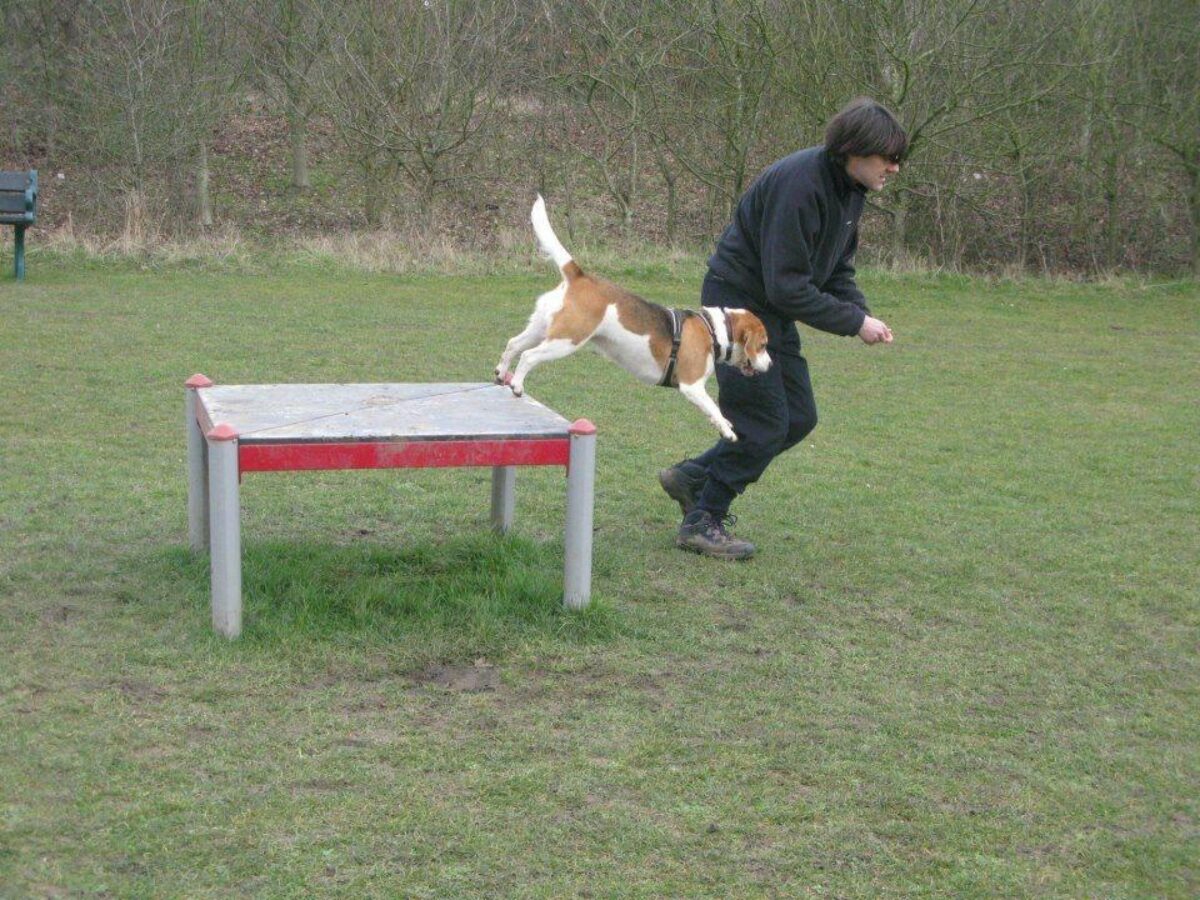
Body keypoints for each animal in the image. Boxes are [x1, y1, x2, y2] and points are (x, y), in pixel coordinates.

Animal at [494, 195, 768, 441]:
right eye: (764, 345)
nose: (771, 364)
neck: (714, 330)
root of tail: (579, 276)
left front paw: (723, 424)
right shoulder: (692, 386)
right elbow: (714, 407)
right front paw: (727, 429)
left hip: (542, 329)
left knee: (513, 344)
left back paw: (501, 373)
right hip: (566, 340)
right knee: (528, 356)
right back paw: (517, 385)